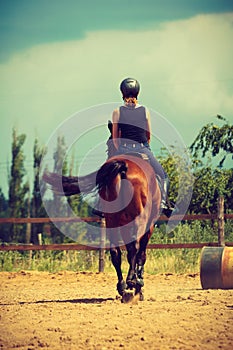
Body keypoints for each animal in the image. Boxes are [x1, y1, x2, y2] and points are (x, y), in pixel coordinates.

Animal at [42, 152, 161, 300]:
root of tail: (124, 166)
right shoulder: (148, 227)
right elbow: (141, 255)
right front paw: (138, 285)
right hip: (137, 220)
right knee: (134, 249)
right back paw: (131, 282)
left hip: (112, 221)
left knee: (116, 252)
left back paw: (122, 286)